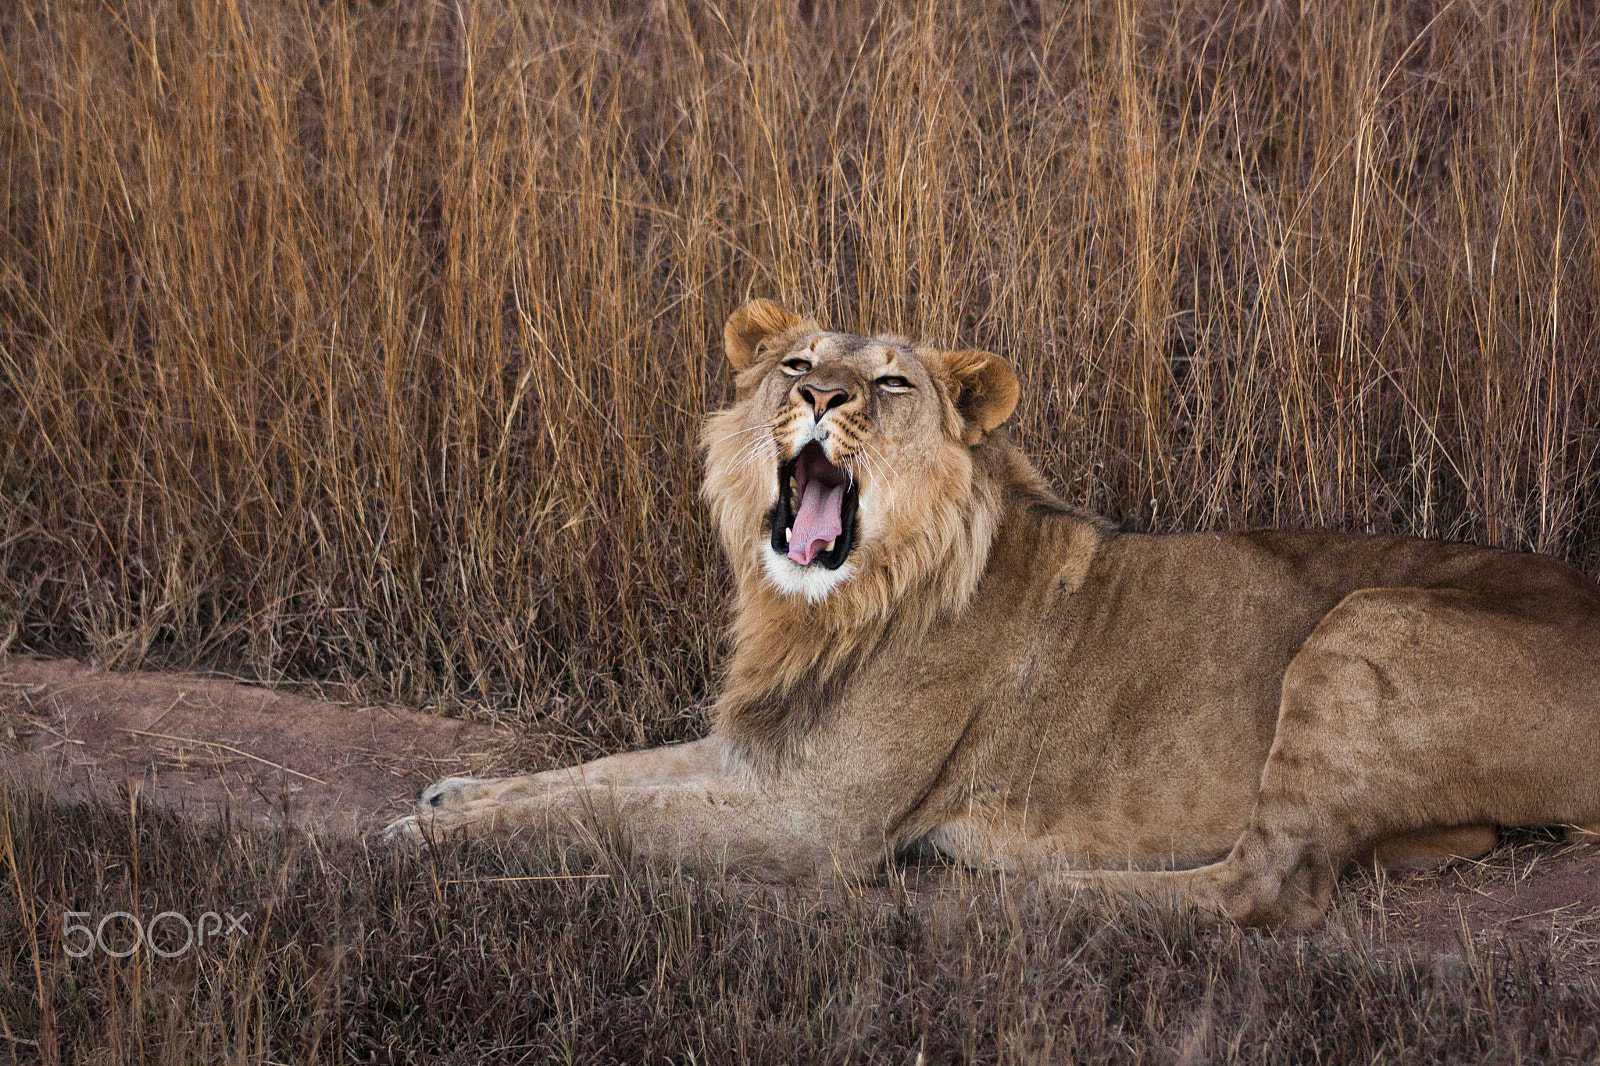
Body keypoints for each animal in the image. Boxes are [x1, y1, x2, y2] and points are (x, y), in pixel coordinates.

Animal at [386, 298, 1600, 930]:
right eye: (796, 361)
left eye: (889, 385)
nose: (816, 396)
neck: (819, 612)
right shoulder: (759, 757)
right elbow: (597, 775)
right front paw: (454, 793)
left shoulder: (815, 824)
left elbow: (606, 816)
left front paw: (422, 835)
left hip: (1366, 620)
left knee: (1267, 885)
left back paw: (1036, 888)